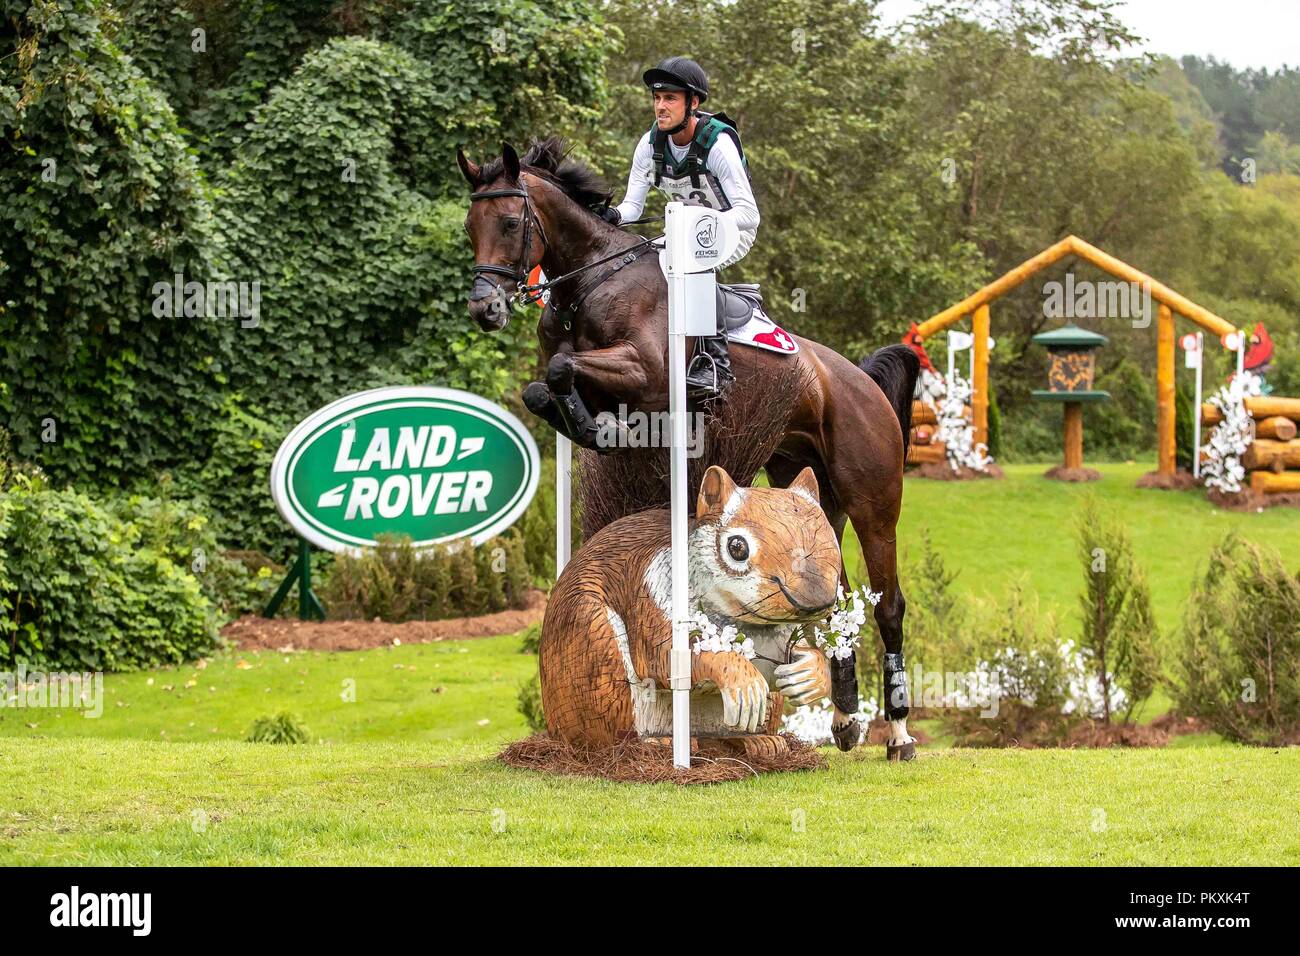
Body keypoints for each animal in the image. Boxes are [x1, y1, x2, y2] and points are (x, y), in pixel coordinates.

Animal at [462, 136, 920, 764]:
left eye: (510, 222)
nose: (486, 309)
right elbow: (545, 383)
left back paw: (898, 732)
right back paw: (846, 719)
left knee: (886, 603)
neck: (593, 285)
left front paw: (602, 430)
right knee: (838, 598)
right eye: (469, 227)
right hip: (805, 487)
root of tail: (860, 381)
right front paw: (598, 429)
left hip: (874, 501)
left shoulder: (648, 373)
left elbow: (559, 369)